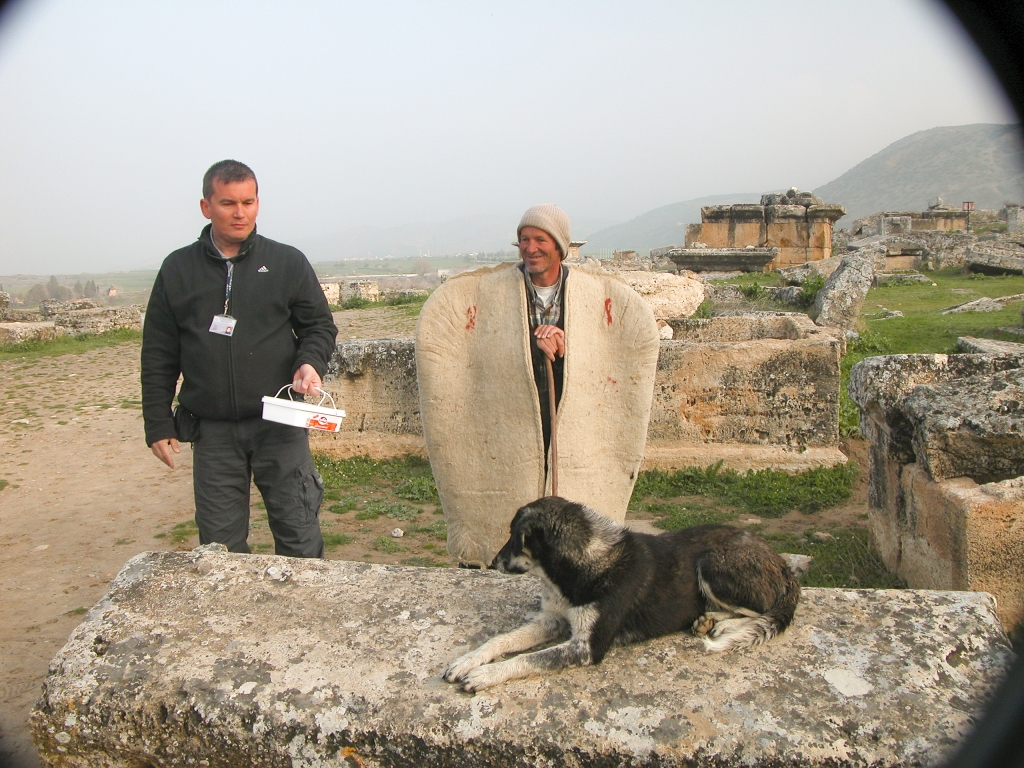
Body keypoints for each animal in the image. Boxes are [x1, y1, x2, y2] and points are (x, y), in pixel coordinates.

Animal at [444, 495, 802, 696]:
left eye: (515, 537)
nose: (492, 562)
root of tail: (780, 561)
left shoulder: (586, 647)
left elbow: (528, 659)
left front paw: (484, 675)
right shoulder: (553, 620)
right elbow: (500, 641)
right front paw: (466, 661)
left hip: (713, 564)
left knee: (764, 609)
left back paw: (720, 623)